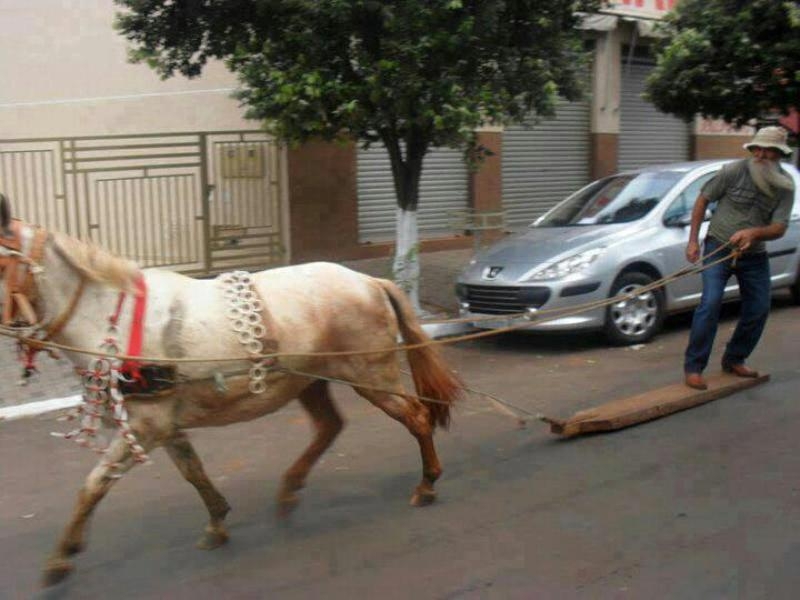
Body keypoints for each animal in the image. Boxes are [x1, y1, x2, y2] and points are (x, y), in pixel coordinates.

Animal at [0, 193, 462, 584]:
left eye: (2, 264)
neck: (118, 318)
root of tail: (371, 282)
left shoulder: (148, 427)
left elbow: (93, 484)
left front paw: (61, 558)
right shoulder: (160, 425)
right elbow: (192, 471)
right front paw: (218, 521)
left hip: (372, 375)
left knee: (417, 416)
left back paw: (426, 484)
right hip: (311, 380)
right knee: (330, 426)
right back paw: (290, 490)